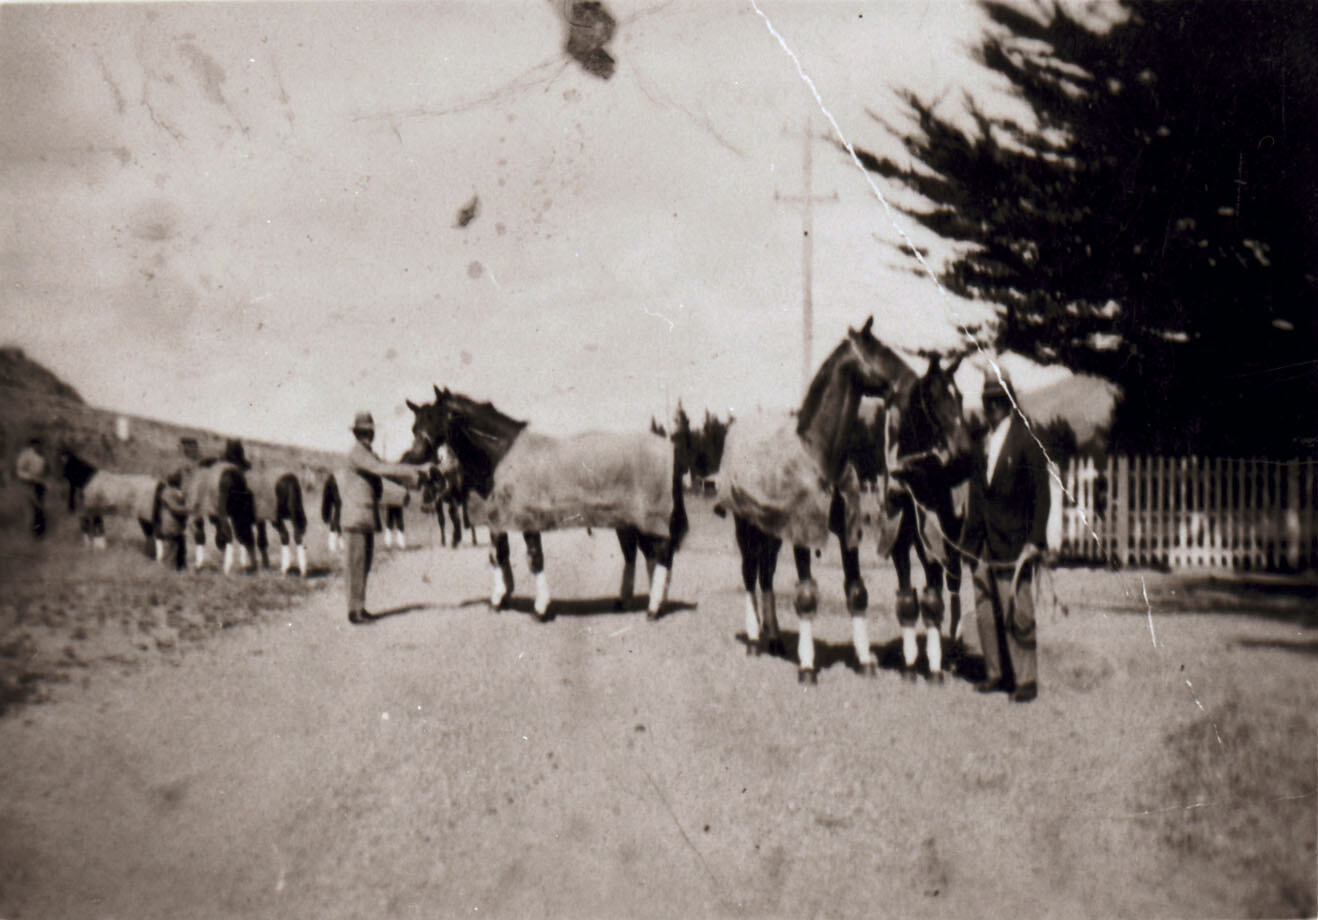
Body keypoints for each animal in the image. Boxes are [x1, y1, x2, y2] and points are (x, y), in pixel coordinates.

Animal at [400, 382, 690, 619]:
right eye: (414, 425)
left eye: (442, 418)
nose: (413, 456)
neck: (502, 455)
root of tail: (669, 450)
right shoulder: (498, 519)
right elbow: (498, 555)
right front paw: (500, 599)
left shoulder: (528, 520)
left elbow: (534, 558)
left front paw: (541, 608)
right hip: (629, 520)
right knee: (641, 554)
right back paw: (636, 601)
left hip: (651, 515)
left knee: (662, 552)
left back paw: (654, 608)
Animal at [716, 315, 922, 680]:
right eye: (879, 350)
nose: (912, 382)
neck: (820, 455)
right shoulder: (803, 532)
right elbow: (807, 596)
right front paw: (808, 666)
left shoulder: (848, 532)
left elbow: (857, 592)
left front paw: (865, 660)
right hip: (746, 527)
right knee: (749, 574)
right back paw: (754, 639)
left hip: (772, 532)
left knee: (766, 576)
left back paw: (773, 638)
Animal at [875, 350, 980, 680]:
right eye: (934, 398)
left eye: (960, 396)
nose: (964, 452)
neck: (913, 479)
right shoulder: (899, 544)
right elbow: (908, 598)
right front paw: (910, 664)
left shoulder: (935, 545)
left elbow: (933, 601)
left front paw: (933, 667)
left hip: (955, 543)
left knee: (955, 587)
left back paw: (954, 651)